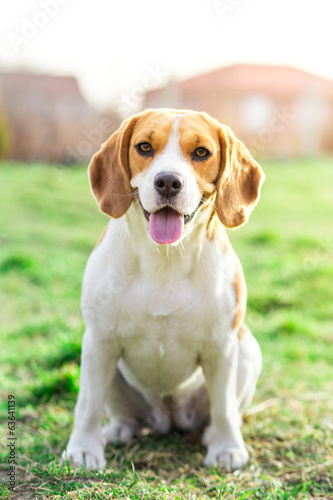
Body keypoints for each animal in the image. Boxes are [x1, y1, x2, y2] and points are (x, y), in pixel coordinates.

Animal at [61, 107, 264, 470]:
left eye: (201, 152)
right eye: (144, 147)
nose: (168, 181)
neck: (165, 259)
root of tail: (167, 417)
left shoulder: (222, 347)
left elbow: (224, 406)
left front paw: (226, 447)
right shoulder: (99, 340)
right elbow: (88, 403)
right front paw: (83, 449)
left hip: (247, 350)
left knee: (222, 411)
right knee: (121, 413)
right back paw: (117, 431)